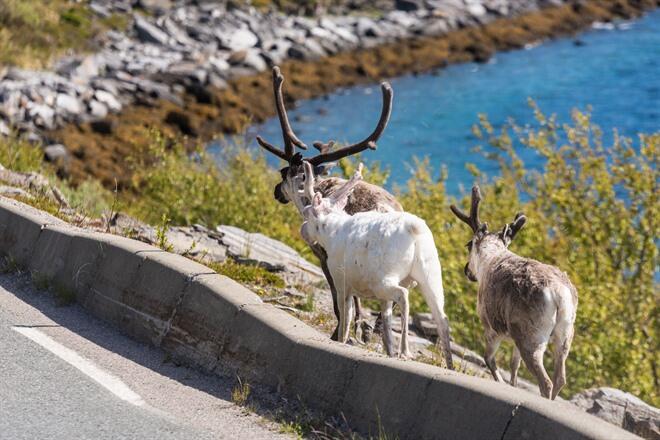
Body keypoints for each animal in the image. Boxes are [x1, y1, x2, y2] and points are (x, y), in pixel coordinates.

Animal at [256, 66, 402, 354]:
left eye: (283, 172)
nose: (276, 191)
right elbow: (354, 300)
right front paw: (357, 331)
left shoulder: (324, 255)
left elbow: (339, 300)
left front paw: (340, 334)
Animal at [293, 160, 454, 367]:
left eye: (307, 213)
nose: (302, 231)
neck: (330, 233)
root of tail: (415, 230)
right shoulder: (380, 299)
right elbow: (386, 325)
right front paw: (389, 353)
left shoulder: (342, 282)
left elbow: (346, 318)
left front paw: (342, 341)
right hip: (431, 273)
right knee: (442, 318)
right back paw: (449, 365)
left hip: (383, 280)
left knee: (403, 295)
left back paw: (406, 351)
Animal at [450, 185, 577, 399]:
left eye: (469, 244)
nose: (467, 270)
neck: (491, 259)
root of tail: (559, 295)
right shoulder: (515, 338)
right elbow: (514, 366)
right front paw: (513, 385)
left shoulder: (492, 326)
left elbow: (489, 358)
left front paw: (501, 382)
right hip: (565, 334)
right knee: (560, 378)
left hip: (531, 337)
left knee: (546, 381)